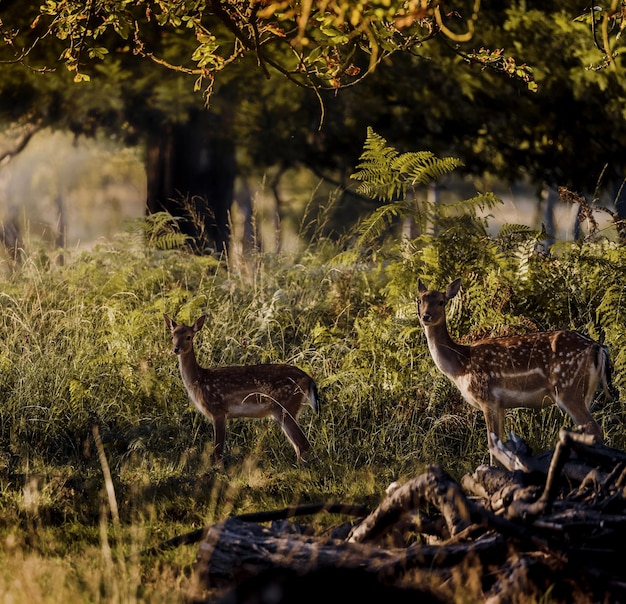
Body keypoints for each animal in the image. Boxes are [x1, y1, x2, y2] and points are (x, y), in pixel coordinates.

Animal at [162, 314, 316, 464]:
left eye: (188, 336)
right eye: (172, 336)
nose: (176, 349)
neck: (200, 380)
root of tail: (308, 379)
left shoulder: (218, 410)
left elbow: (218, 452)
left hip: (285, 406)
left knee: (303, 444)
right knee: (299, 445)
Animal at [414, 276, 608, 464]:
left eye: (441, 302)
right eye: (419, 300)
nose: (426, 316)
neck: (460, 365)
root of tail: (598, 348)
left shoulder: (487, 398)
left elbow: (493, 445)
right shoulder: (501, 405)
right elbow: (500, 443)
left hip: (568, 387)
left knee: (595, 430)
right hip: (586, 392)